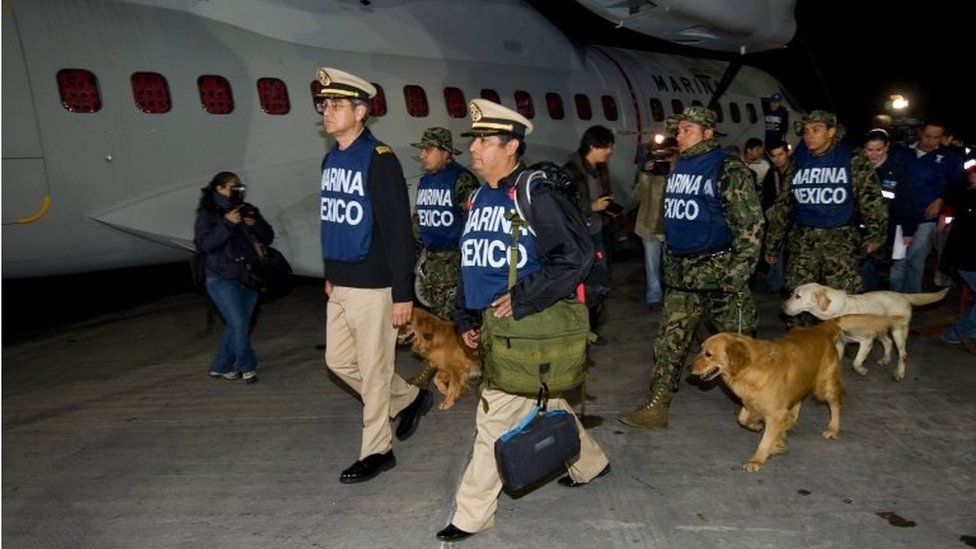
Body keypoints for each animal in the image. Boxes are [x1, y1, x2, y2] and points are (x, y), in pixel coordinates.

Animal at [692, 314, 904, 474]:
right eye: (700, 349)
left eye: (709, 354)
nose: (688, 368)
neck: (750, 367)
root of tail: (820, 328)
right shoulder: (752, 402)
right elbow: (742, 418)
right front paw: (756, 426)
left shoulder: (775, 412)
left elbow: (766, 439)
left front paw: (757, 459)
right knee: (798, 402)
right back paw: (791, 422)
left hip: (824, 385)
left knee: (836, 403)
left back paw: (833, 428)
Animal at [784, 284, 944, 378]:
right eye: (792, 293)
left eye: (798, 296)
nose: (782, 306)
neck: (840, 311)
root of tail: (902, 295)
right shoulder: (840, 343)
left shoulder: (866, 341)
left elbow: (856, 362)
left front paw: (861, 370)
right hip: (879, 330)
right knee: (888, 342)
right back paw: (885, 360)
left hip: (898, 332)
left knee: (903, 355)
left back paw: (899, 373)